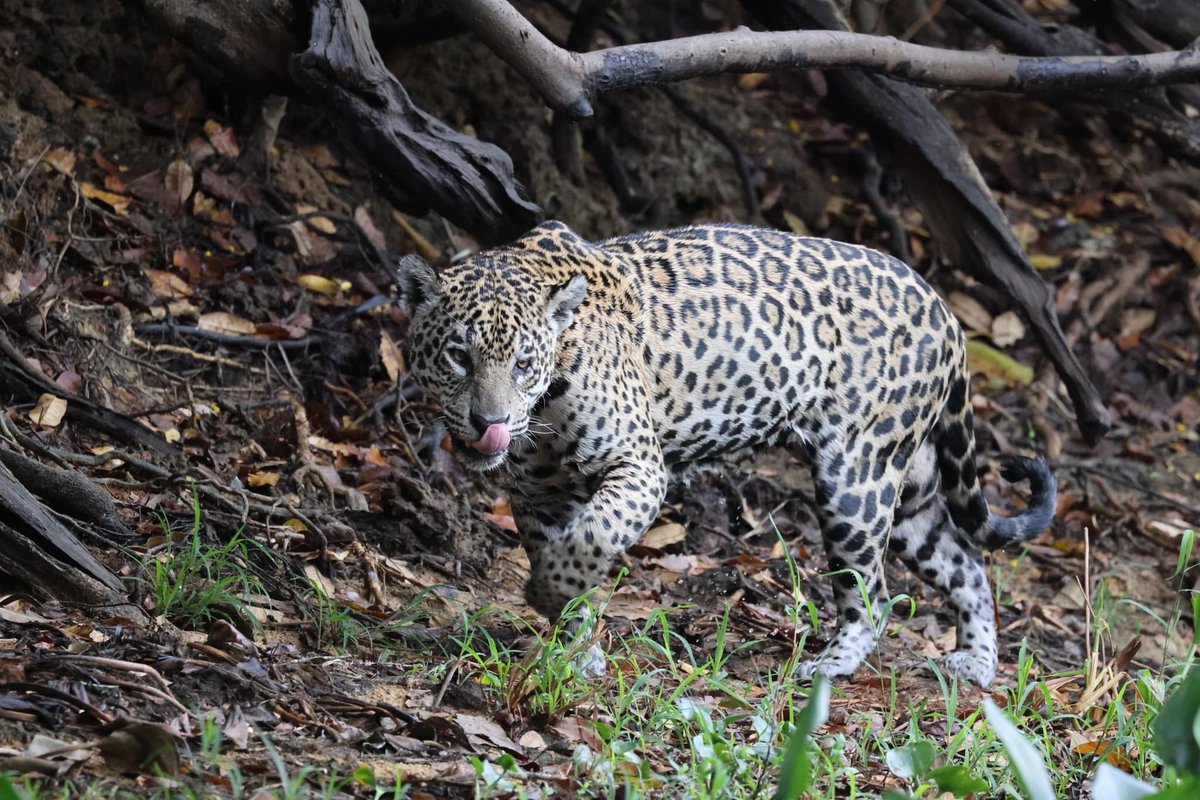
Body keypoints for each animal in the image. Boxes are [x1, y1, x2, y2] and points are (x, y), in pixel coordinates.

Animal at [395, 220, 1056, 688]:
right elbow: (572, 554)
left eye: (523, 363)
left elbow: (593, 537)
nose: (489, 424)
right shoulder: (537, 498)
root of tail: (945, 310)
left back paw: (830, 666)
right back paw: (976, 664)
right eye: (459, 357)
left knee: (870, 594)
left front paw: (550, 598)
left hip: (856, 481)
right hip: (908, 484)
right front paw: (575, 646)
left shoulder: (638, 465)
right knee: (965, 561)